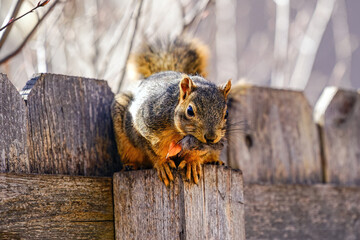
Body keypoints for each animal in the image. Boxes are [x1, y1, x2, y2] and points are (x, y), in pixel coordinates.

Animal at [111, 37, 232, 187]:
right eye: (190, 110)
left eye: (226, 114)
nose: (210, 137)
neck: (180, 134)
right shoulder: (144, 125)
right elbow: (151, 149)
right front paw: (163, 164)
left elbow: (200, 153)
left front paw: (192, 162)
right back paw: (131, 165)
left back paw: (215, 161)